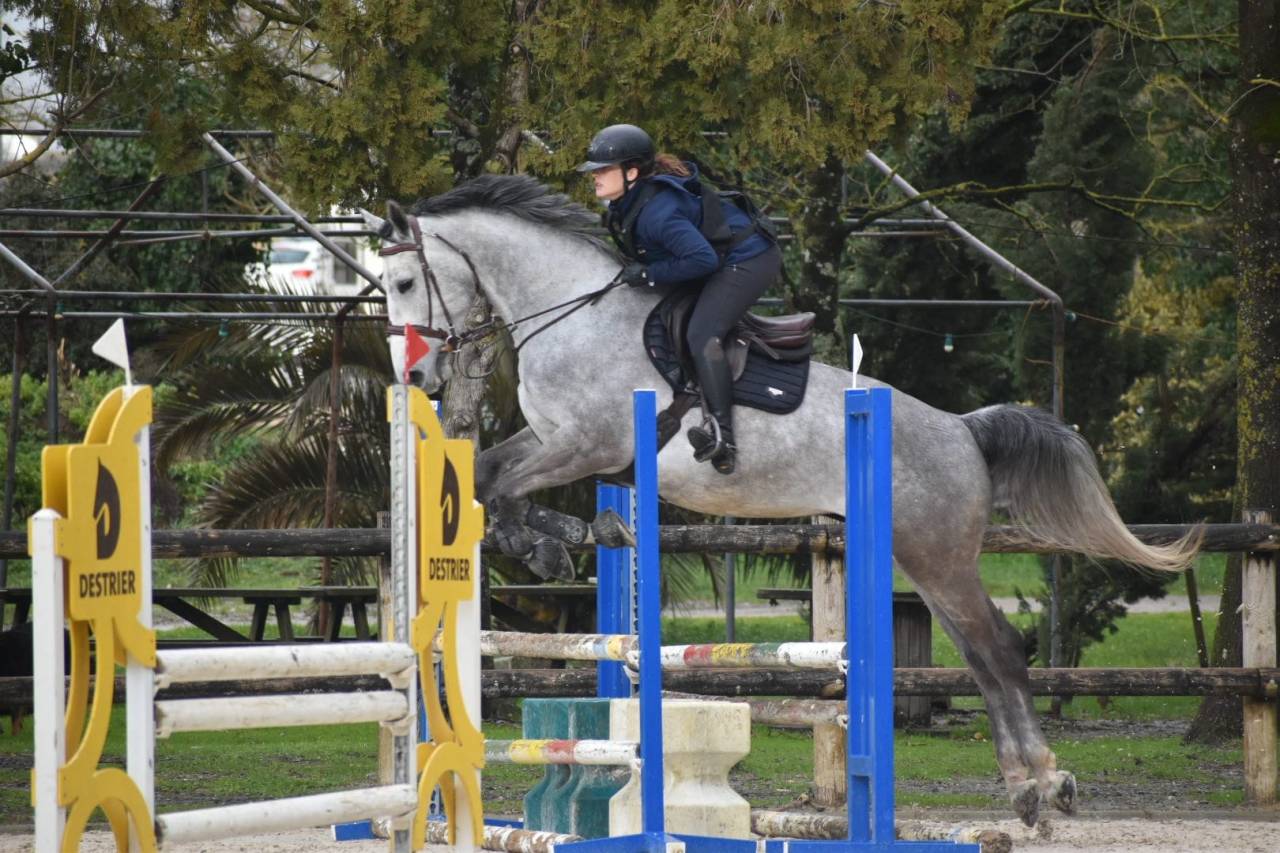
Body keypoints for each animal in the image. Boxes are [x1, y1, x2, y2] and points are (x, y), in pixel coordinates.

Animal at [360, 174, 1198, 826]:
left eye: (402, 284)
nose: (419, 378)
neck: (571, 311)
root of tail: (963, 429)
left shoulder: (591, 444)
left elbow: (502, 486)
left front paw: (554, 539)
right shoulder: (556, 440)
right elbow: (489, 474)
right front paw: (564, 534)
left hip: (935, 551)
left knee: (998, 650)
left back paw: (1043, 786)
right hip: (925, 556)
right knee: (979, 658)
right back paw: (1027, 784)